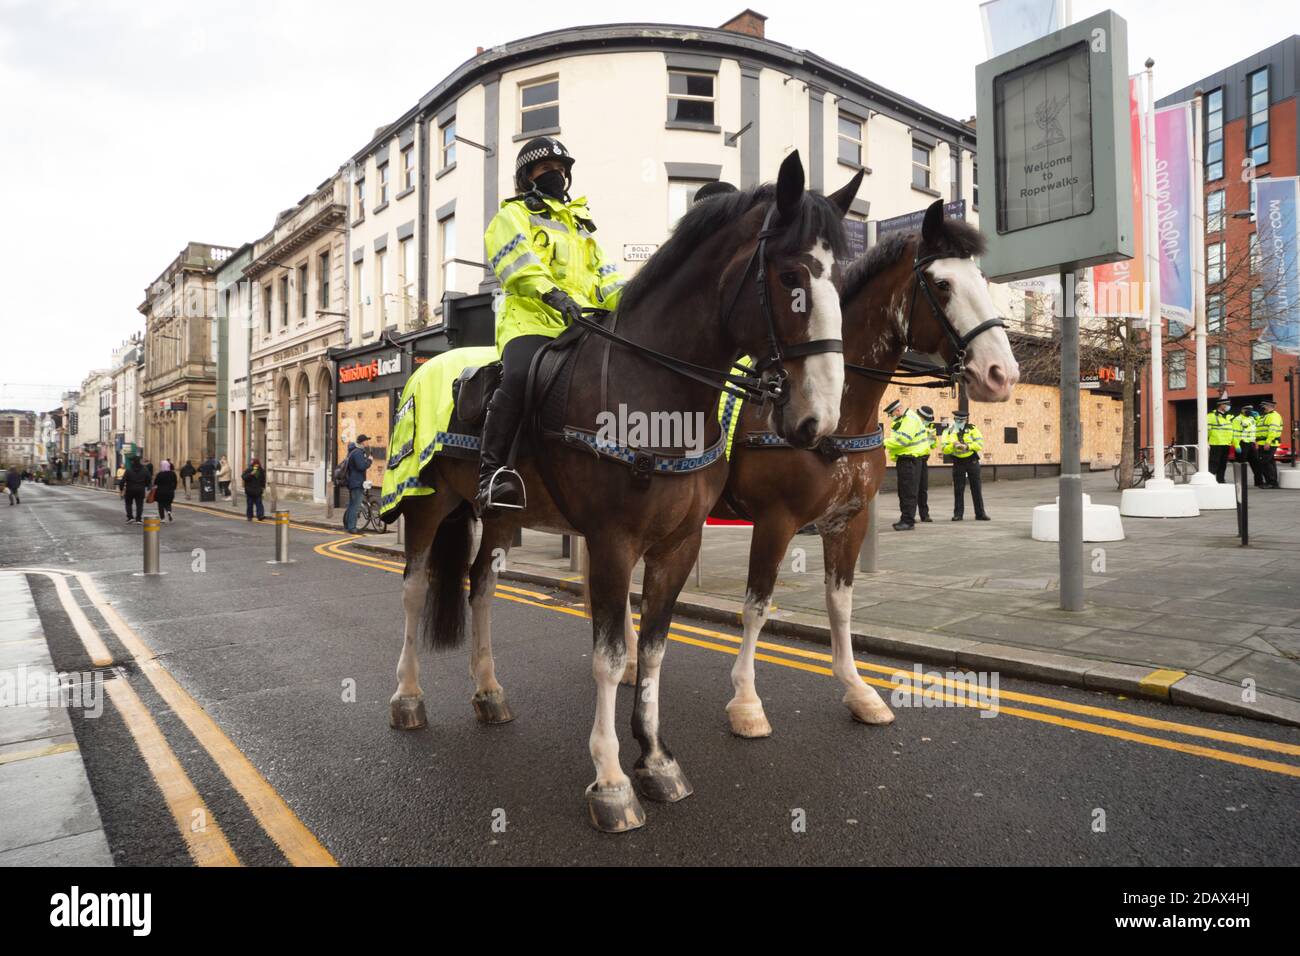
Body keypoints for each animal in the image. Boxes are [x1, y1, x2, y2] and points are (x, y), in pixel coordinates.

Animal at [390, 153, 868, 832]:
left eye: (843, 280)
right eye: (791, 275)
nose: (819, 419)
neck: (657, 391)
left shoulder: (679, 544)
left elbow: (655, 649)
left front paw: (657, 761)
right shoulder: (612, 542)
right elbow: (612, 656)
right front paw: (612, 781)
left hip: (501, 514)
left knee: (481, 586)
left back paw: (489, 692)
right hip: (427, 503)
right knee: (413, 588)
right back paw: (408, 698)